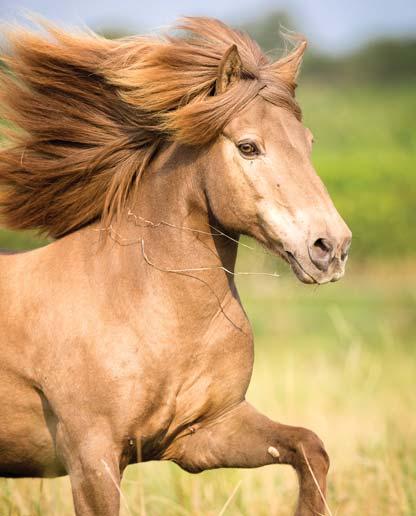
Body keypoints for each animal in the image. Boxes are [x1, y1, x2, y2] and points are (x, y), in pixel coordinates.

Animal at [0, 17, 352, 516]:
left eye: (308, 143)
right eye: (248, 146)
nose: (330, 247)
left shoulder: (204, 433)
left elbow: (309, 446)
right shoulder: (92, 458)